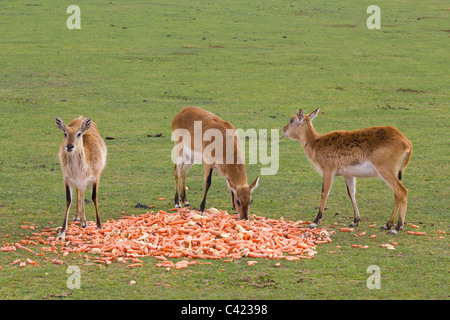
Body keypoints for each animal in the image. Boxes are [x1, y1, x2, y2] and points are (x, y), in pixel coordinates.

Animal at [284, 109, 414, 234]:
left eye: (291, 120)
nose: (284, 129)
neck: (316, 143)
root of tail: (407, 143)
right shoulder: (348, 174)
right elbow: (351, 193)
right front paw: (355, 221)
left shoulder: (328, 171)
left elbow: (324, 192)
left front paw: (314, 222)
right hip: (395, 173)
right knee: (396, 195)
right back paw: (387, 224)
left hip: (386, 171)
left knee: (402, 192)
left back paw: (397, 228)